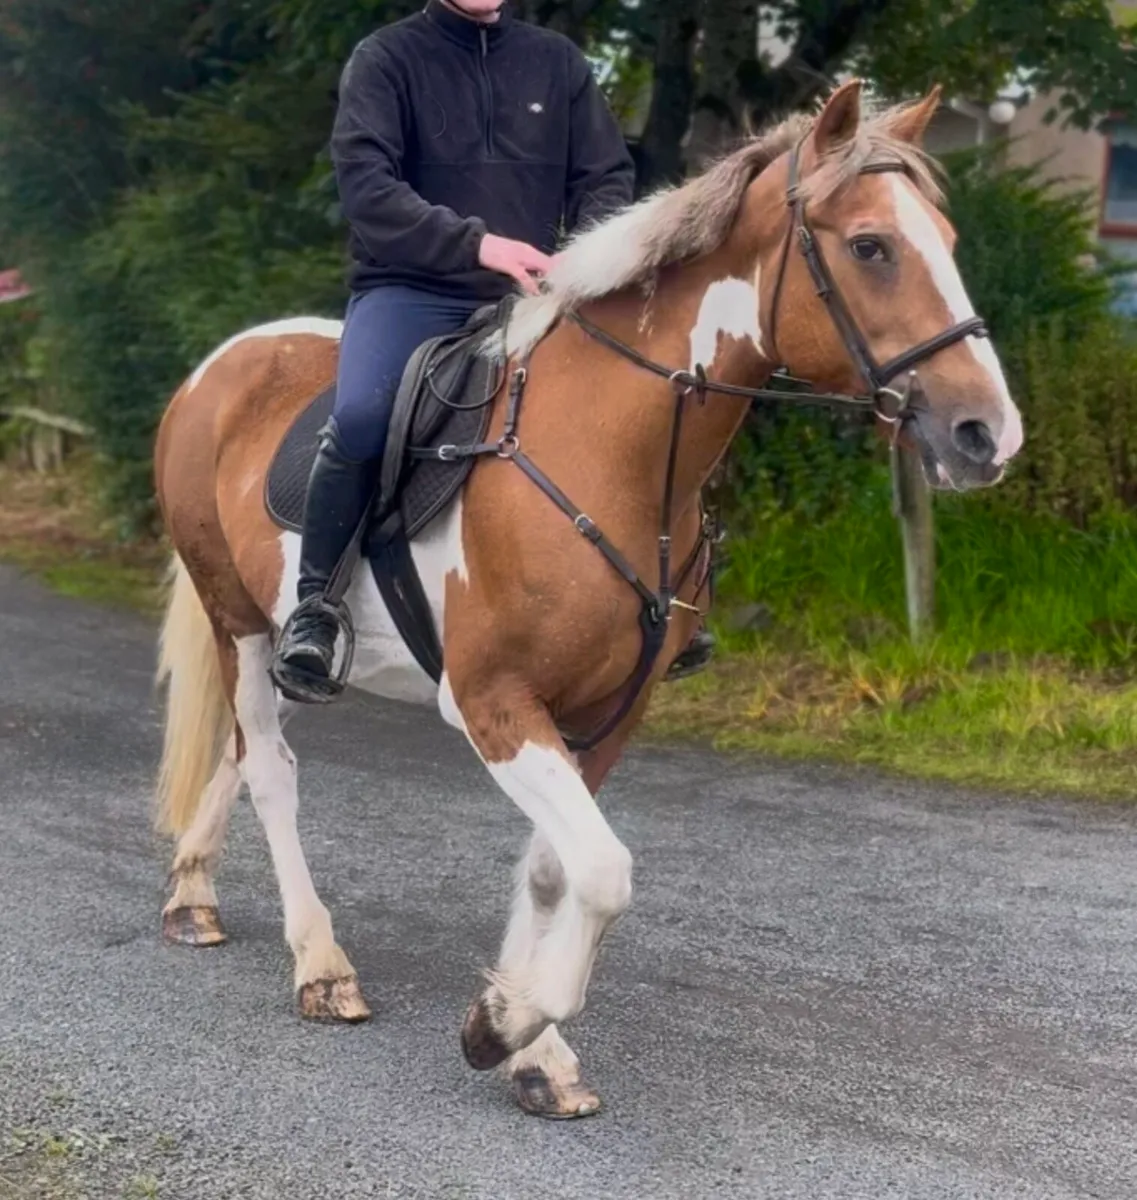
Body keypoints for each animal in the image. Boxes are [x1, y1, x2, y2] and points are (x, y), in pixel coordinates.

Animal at [152, 80, 1023, 1118]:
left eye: (946, 237)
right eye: (869, 246)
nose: (986, 433)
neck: (610, 450)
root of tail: (219, 367)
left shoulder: (608, 711)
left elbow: (554, 867)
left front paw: (533, 1047)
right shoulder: (493, 703)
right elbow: (603, 871)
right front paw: (503, 1026)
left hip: (302, 649)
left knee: (243, 754)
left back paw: (192, 891)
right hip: (240, 623)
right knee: (272, 768)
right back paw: (320, 964)